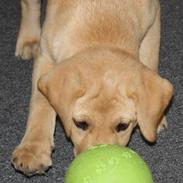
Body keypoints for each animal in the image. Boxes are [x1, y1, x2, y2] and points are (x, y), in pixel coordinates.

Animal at [11, 0, 173, 175]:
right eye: (81, 124)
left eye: (122, 126)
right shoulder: (46, 53)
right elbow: (40, 103)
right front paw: (33, 149)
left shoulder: (153, 19)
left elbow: (151, 60)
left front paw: (156, 119)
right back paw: (28, 40)